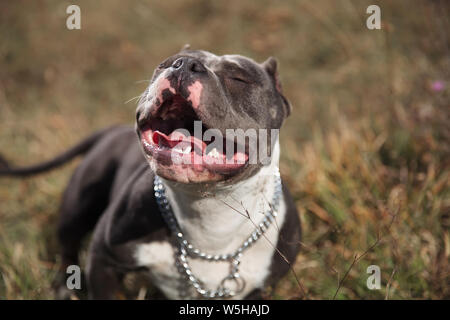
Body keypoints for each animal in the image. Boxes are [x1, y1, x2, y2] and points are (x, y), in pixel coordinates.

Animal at [1, 48, 302, 300]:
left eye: (239, 78)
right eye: (165, 64)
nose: (184, 65)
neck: (208, 217)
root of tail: (112, 131)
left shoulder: (258, 289)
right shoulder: (103, 259)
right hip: (77, 205)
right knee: (68, 247)